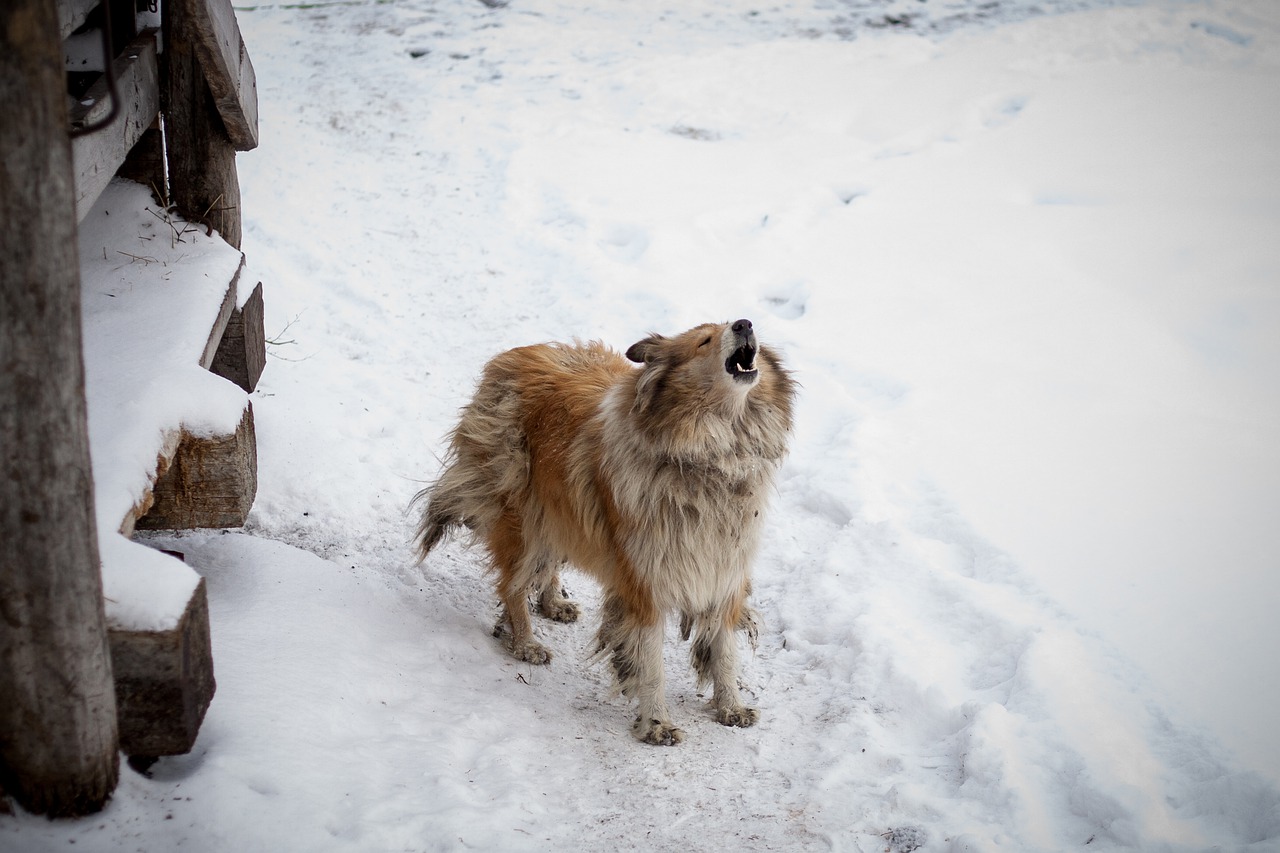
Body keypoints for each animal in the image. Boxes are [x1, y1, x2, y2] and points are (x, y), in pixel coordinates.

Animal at [412, 318, 788, 742]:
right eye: (704, 341)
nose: (745, 323)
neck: (711, 455)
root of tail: (517, 356)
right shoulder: (644, 583)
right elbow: (651, 665)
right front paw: (657, 723)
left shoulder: (723, 572)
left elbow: (724, 653)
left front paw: (731, 707)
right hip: (523, 521)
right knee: (511, 585)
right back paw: (526, 642)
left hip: (557, 513)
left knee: (545, 564)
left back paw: (552, 602)